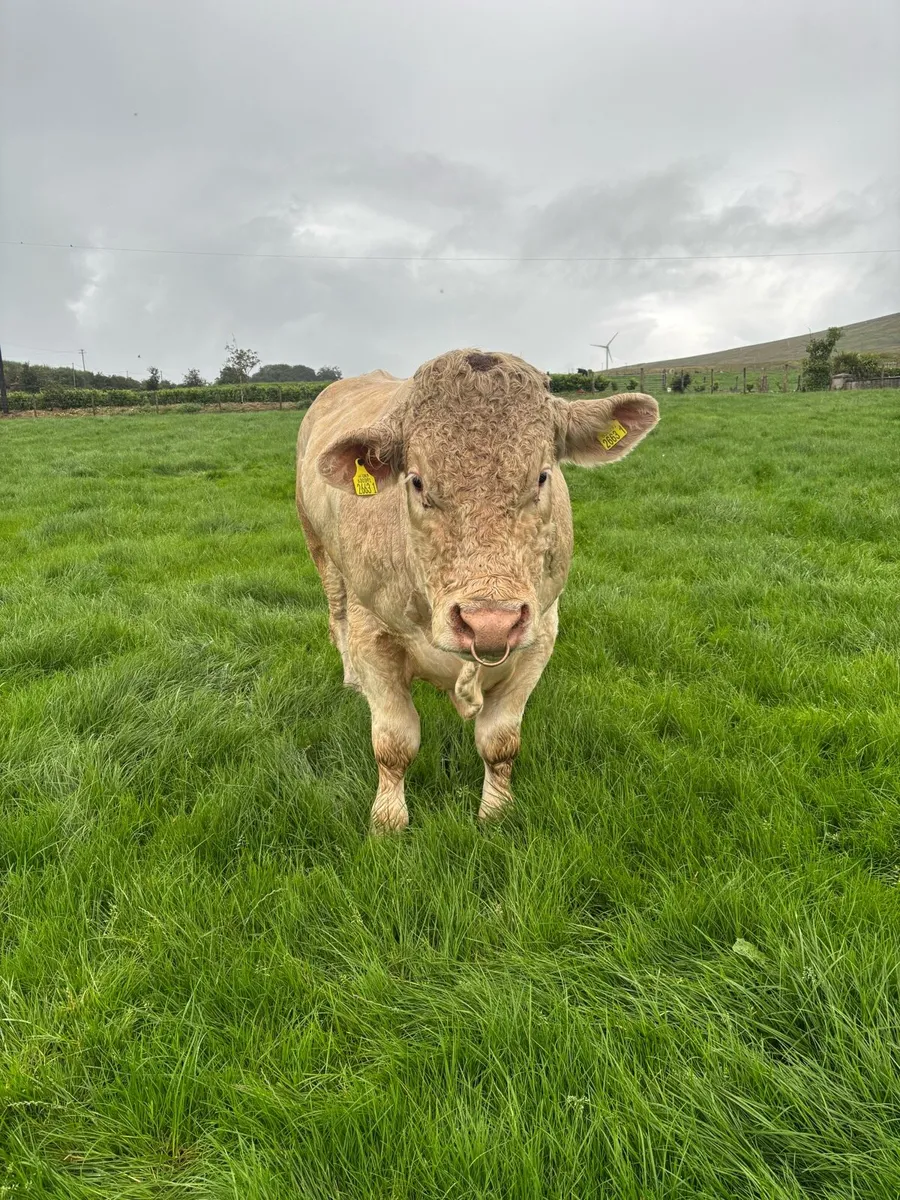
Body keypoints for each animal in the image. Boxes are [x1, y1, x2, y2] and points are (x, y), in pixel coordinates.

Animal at [296, 349, 659, 832]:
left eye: (543, 476)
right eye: (417, 481)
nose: (490, 623)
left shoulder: (540, 633)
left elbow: (500, 741)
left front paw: (497, 812)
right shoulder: (372, 633)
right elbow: (393, 742)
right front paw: (388, 819)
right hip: (320, 552)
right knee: (334, 614)